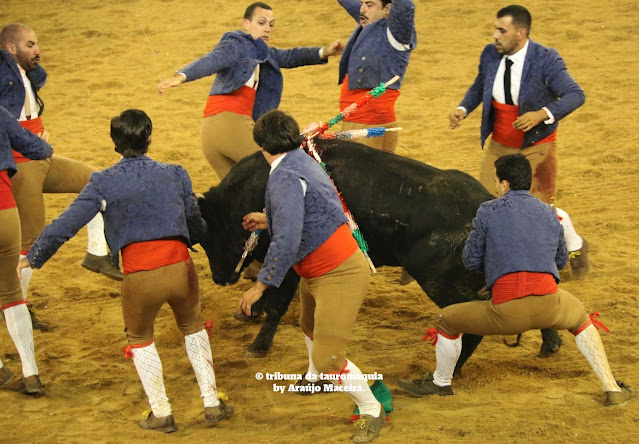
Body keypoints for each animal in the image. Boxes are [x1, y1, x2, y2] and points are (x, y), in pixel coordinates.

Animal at [197, 139, 563, 373]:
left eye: (212, 234)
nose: (219, 277)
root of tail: (486, 204)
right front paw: (249, 312)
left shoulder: (289, 254)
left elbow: (277, 299)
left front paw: (258, 345)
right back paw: (550, 344)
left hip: (437, 280)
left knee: (473, 321)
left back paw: (450, 371)